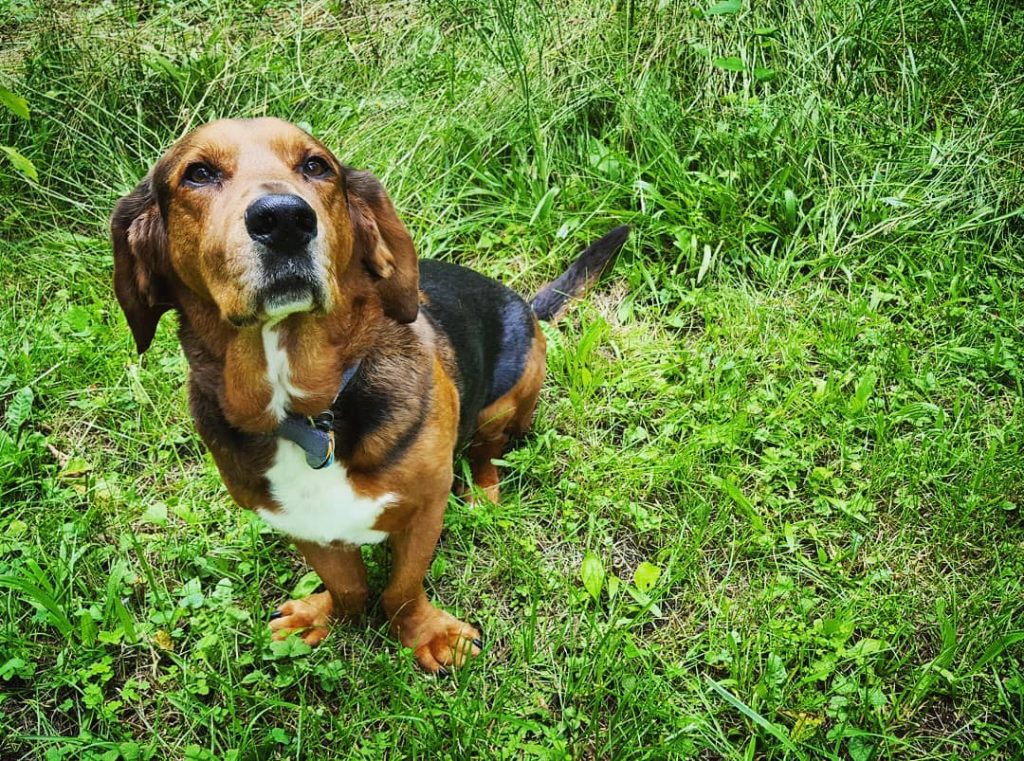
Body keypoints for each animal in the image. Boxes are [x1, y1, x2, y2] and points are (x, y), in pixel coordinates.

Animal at [110, 117, 622, 671]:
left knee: (488, 450)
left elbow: (401, 589)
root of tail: (523, 303)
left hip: (509, 396)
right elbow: (349, 587)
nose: (285, 220)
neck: (310, 414)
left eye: (316, 166)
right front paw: (323, 617)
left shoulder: (425, 507)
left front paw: (428, 635)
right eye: (197, 174)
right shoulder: (303, 524)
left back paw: (482, 492)